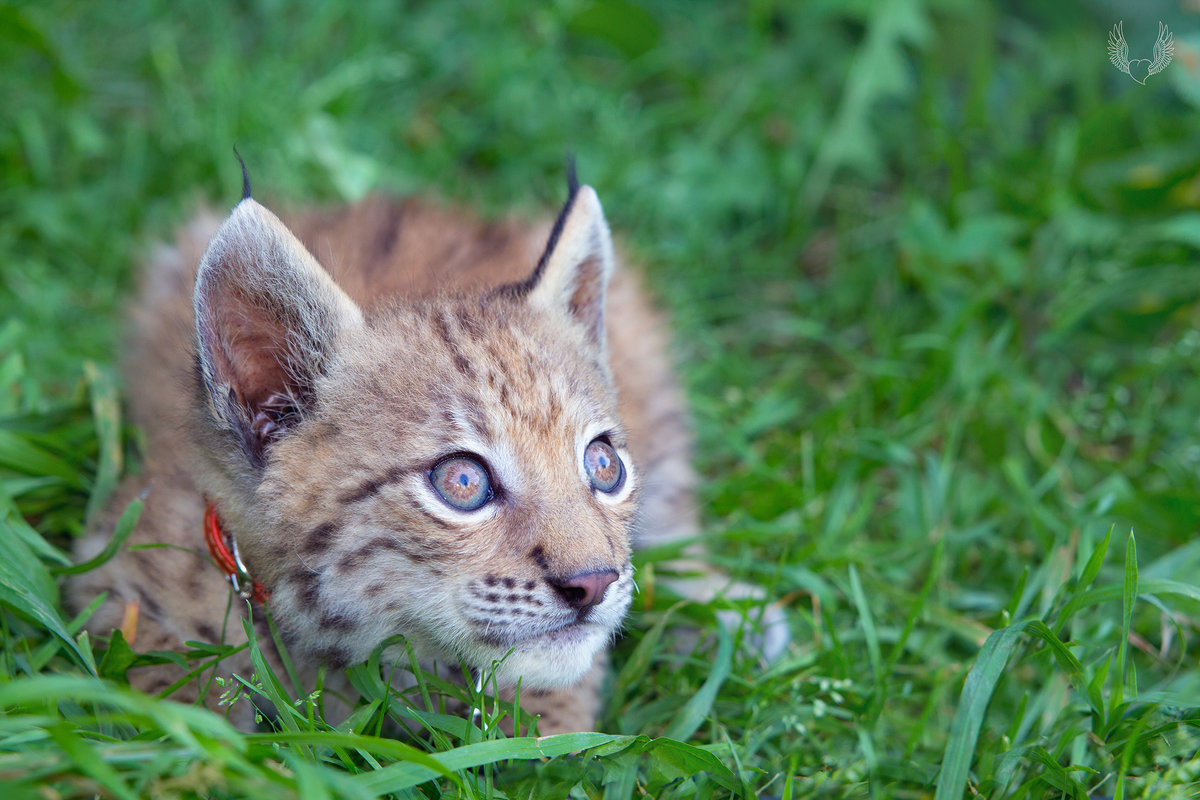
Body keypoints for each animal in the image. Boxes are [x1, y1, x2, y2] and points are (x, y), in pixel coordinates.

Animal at [72, 169, 787, 734]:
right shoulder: (111, 576)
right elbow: (162, 688)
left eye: (602, 465)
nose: (595, 582)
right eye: (462, 482)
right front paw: (206, 745)